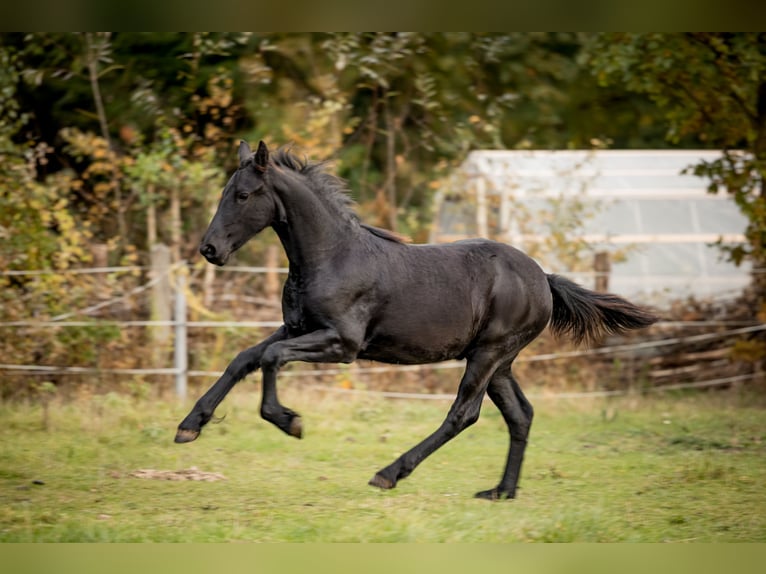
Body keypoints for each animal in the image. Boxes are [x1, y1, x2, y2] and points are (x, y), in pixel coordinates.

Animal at [175, 140, 657, 500]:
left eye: (243, 196)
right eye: (225, 192)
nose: (209, 249)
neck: (330, 257)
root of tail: (543, 278)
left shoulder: (342, 344)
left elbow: (272, 357)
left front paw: (288, 420)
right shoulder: (298, 328)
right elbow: (245, 358)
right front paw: (189, 426)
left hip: (488, 355)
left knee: (463, 414)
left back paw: (390, 473)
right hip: (500, 362)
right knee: (520, 414)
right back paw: (501, 491)